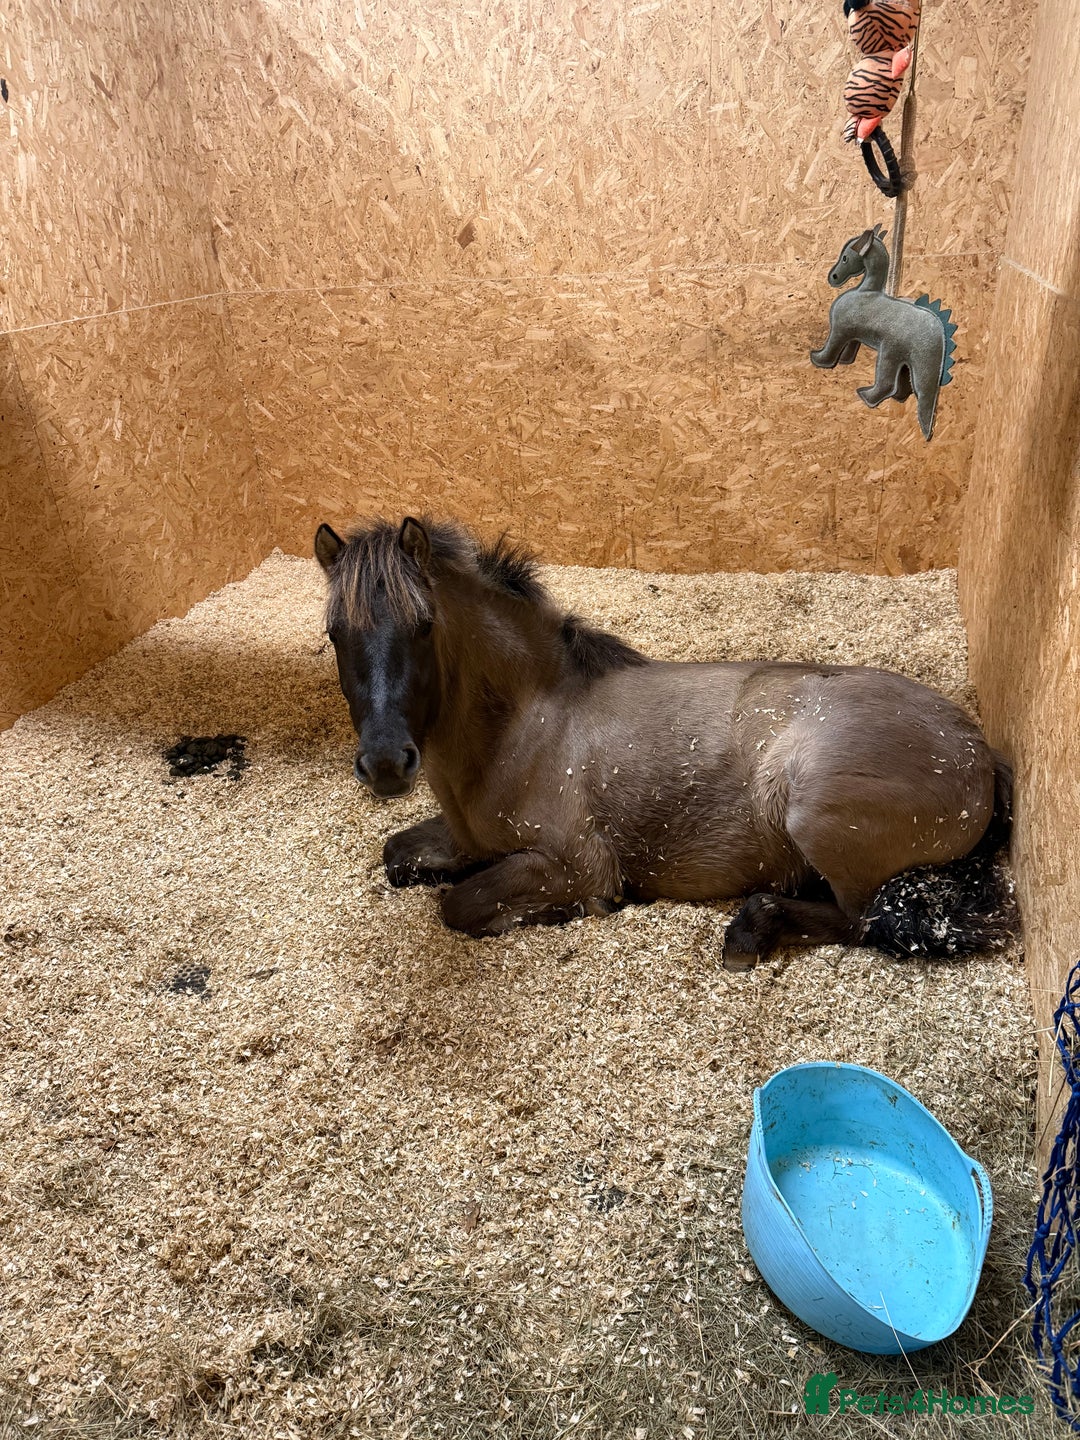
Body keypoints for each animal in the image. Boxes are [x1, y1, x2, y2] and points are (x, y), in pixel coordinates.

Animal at [315, 516, 1014, 970]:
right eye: (333, 633)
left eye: (424, 625)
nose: (385, 762)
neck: (528, 727)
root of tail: (979, 754)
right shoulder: (467, 839)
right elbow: (398, 854)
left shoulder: (573, 865)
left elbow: (462, 904)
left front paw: (566, 913)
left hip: (814, 819)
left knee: (861, 918)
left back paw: (751, 931)